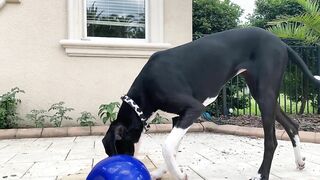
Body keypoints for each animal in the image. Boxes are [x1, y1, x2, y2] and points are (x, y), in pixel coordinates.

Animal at [102, 27, 320, 179]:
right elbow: (173, 148)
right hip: (263, 94)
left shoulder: (194, 109)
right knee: (292, 125)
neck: (145, 91)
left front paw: (178, 174)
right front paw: (162, 172)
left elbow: (167, 146)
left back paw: (261, 174)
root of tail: (281, 42)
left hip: (265, 95)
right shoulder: (179, 118)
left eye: (116, 151)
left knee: (271, 141)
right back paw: (300, 161)